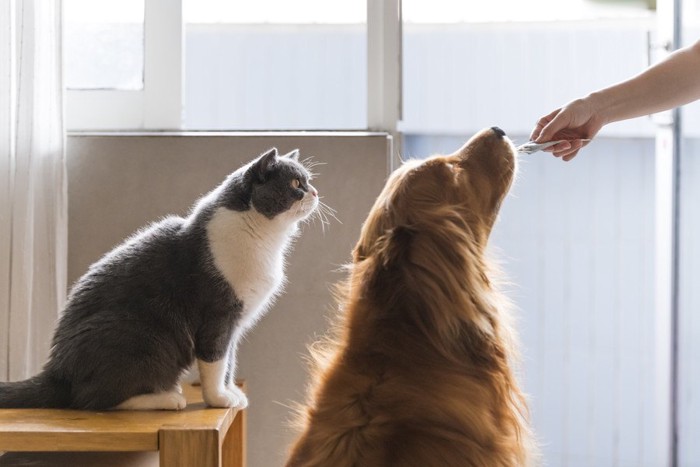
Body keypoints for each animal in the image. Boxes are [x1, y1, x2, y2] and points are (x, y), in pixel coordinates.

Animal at [0, 148, 318, 412]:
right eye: (295, 184)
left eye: (308, 181)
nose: (315, 192)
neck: (266, 239)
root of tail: (56, 371)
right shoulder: (218, 315)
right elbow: (214, 360)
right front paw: (219, 399)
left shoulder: (236, 323)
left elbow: (229, 359)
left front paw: (231, 392)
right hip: (140, 335)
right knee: (91, 399)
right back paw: (166, 398)